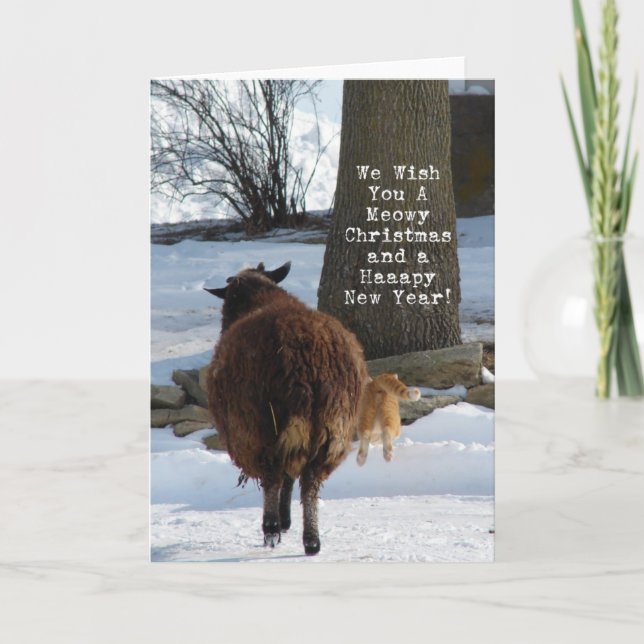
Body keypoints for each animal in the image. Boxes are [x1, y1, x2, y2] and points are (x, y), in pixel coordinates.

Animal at [204, 261, 368, 555]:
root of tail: (308, 363)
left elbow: (279, 477)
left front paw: (278, 524)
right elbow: (291, 477)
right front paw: (287, 519)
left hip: (264, 424)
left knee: (272, 476)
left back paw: (270, 529)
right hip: (331, 425)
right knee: (310, 482)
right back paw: (311, 539)